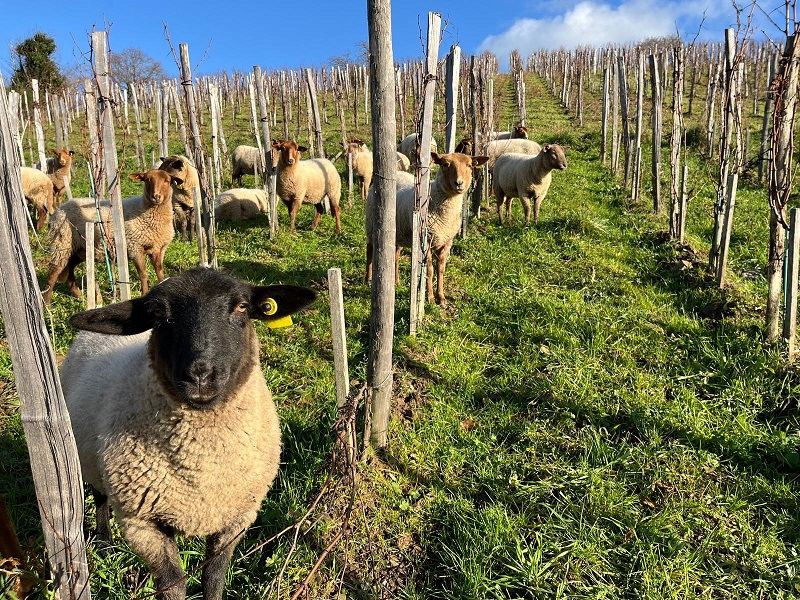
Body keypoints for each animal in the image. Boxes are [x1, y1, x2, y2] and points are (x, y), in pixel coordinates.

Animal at [44, 169, 181, 304]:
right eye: (147, 179)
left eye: (167, 181)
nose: (156, 197)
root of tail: (59, 209)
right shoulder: (135, 247)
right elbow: (143, 274)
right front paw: (144, 293)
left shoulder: (159, 248)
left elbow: (160, 271)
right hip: (61, 243)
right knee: (53, 273)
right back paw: (47, 303)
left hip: (79, 248)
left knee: (70, 267)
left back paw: (77, 295)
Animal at [60, 267, 317, 600]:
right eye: (158, 313)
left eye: (242, 307)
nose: (200, 375)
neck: (200, 466)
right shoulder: (141, 523)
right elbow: (173, 586)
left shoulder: (237, 518)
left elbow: (213, 578)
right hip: (89, 456)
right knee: (100, 496)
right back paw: (104, 541)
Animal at [365, 151, 489, 306]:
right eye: (445, 164)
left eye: (470, 166)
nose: (459, 183)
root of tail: (397, 173)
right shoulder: (427, 240)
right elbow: (429, 270)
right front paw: (430, 298)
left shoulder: (447, 241)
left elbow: (440, 269)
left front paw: (441, 297)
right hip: (371, 225)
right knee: (369, 251)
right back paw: (368, 280)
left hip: (400, 232)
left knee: (396, 256)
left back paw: (396, 282)